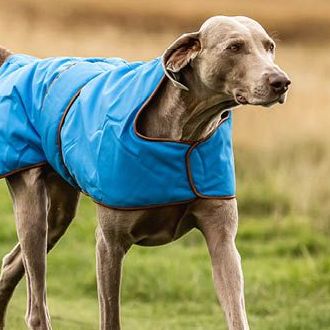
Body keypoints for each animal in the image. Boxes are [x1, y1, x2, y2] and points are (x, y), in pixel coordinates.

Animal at [0, 14, 288, 330]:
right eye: (234, 47)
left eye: (270, 46)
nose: (281, 82)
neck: (184, 135)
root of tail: (19, 60)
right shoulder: (109, 243)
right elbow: (110, 317)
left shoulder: (222, 239)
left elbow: (236, 313)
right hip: (32, 203)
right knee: (36, 302)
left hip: (59, 212)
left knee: (11, 265)